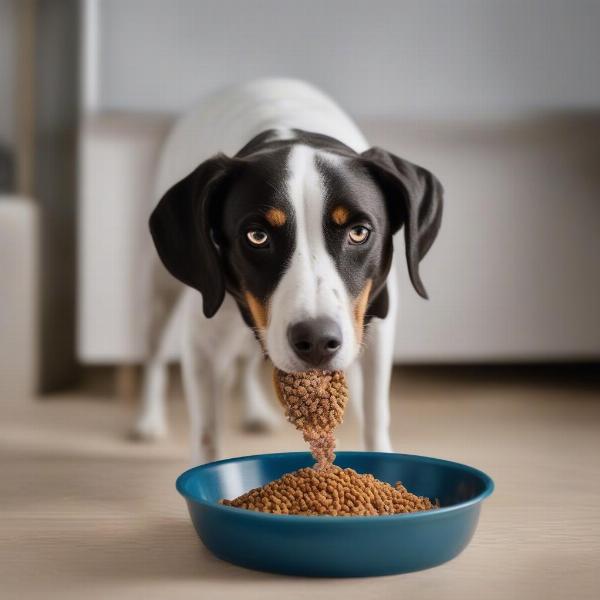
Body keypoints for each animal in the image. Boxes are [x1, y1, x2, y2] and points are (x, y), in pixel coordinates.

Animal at [132, 78, 440, 464]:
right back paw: (148, 420)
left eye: (359, 232)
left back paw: (254, 411)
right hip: (161, 290)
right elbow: (205, 436)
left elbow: (374, 417)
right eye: (257, 236)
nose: (318, 341)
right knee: (155, 353)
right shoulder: (203, 343)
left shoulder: (376, 327)